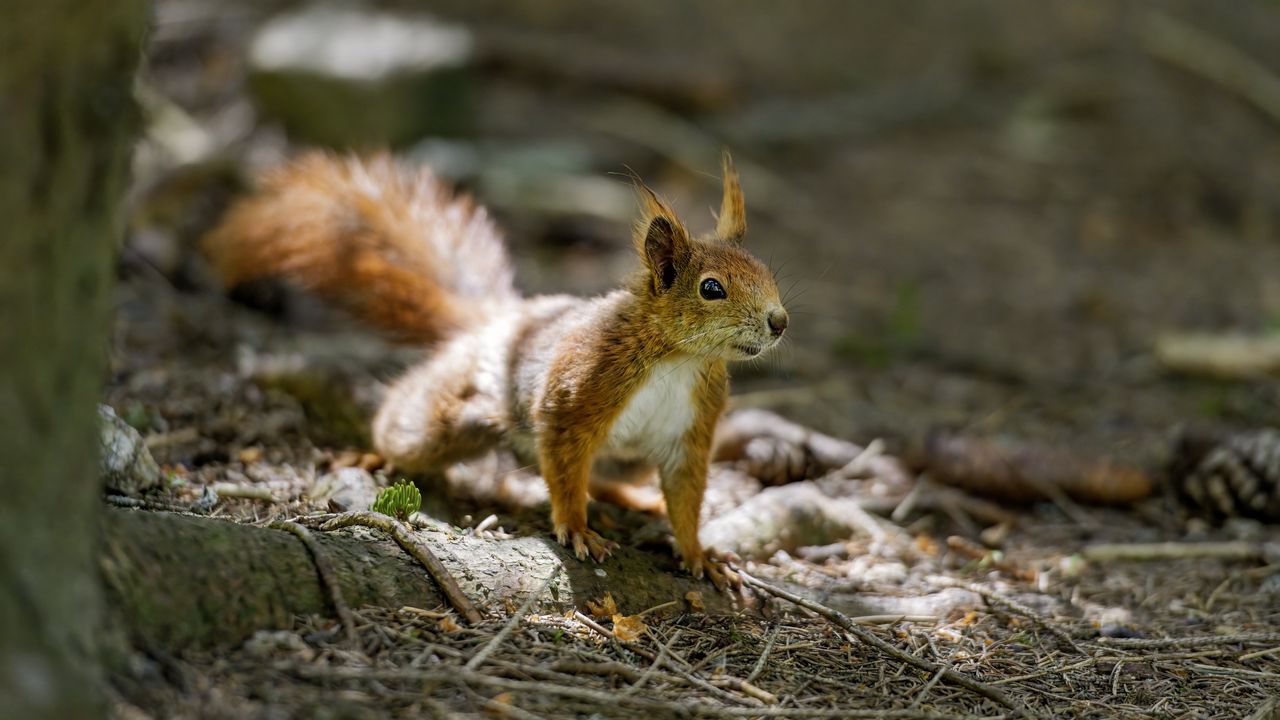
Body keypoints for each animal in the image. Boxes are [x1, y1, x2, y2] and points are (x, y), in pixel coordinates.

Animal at [203, 151, 789, 588]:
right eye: (711, 288)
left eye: (767, 272)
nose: (779, 321)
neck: (681, 360)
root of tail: (498, 323)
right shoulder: (577, 393)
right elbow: (565, 465)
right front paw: (576, 528)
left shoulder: (693, 429)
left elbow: (687, 497)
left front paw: (699, 554)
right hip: (444, 420)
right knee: (403, 424)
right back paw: (373, 451)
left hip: (629, 461)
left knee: (609, 476)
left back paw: (634, 499)